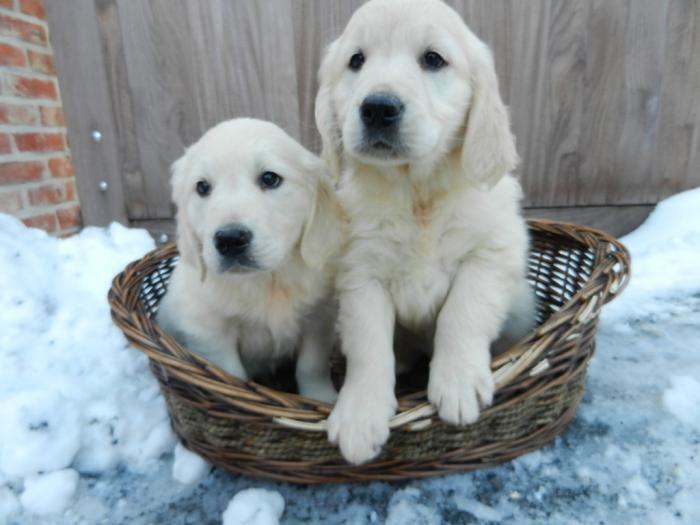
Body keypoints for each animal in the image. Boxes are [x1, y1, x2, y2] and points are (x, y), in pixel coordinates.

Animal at [159, 118, 344, 404]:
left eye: (269, 178)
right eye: (202, 187)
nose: (230, 239)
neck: (267, 280)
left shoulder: (319, 318)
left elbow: (312, 365)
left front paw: (321, 399)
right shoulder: (210, 331)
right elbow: (231, 375)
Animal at [316, 0, 536, 460]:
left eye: (433, 59)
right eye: (356, 61)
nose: (378, 108)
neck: (416, 192)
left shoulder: (490, 254)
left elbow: (462, 313)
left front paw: (458, 382)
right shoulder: (360, 274)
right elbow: (368, 346)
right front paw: (360, 414)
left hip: (521, 303)